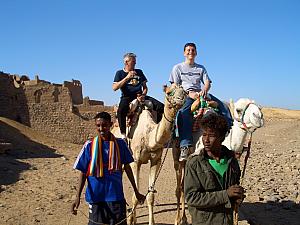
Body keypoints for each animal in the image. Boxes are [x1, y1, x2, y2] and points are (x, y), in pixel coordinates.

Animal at [112, 84, 186, 225]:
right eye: (169, 92)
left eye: (184, 92)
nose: (180, 99)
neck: (149, 136)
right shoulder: (135, 161)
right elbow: (135, 196)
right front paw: (131, 220)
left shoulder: (156, 160)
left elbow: (150, 196)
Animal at [172, 97, 264, 225]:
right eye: (238, 110)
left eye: (259, 107)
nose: (259, 116)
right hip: (177, 156)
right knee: (179, 187)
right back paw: (177, 219)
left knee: (183, 185)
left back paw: (184, 219)